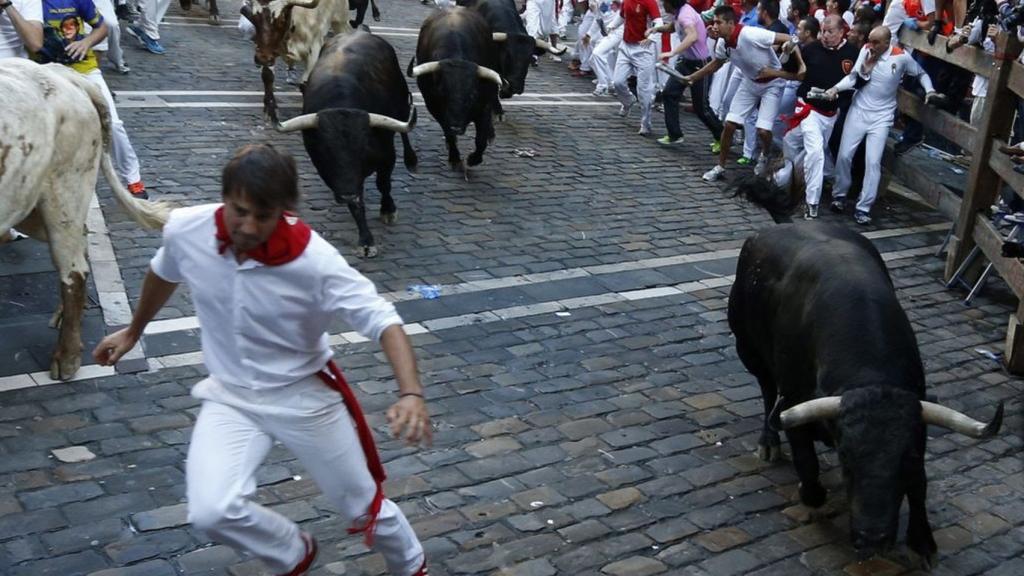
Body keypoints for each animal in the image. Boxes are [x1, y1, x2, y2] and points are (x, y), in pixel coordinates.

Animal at [0, 60, 167, 379]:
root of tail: (64, 74)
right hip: (28, 200)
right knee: (82, 240)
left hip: (64, 191)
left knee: (74, 269)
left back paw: (66, 358)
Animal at [729, 180, 999, 565]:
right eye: (846, 456)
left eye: (906, 457)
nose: (873, 537)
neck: (869, 371)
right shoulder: (793, 404)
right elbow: (807, 466)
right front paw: (811, 493)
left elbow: (919, 484)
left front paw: (922, 539)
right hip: (748, 348)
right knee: (766, 390)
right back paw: (768, 443)